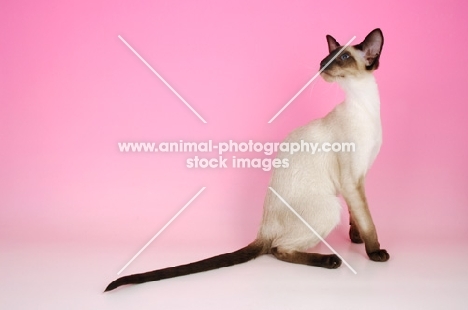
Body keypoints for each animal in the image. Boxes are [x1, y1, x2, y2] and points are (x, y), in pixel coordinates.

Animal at [104, 27, 390, 292]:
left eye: (342, 57)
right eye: (327, 57)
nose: (321, 64)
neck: (367, 107)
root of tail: (262, 230)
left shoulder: (357, 178)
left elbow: (357, 217)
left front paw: (355, 239)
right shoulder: (351, 179)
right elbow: (368, 221)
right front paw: (375, 252)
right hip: (329, 208)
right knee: (278, 249)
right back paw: (330, 260)